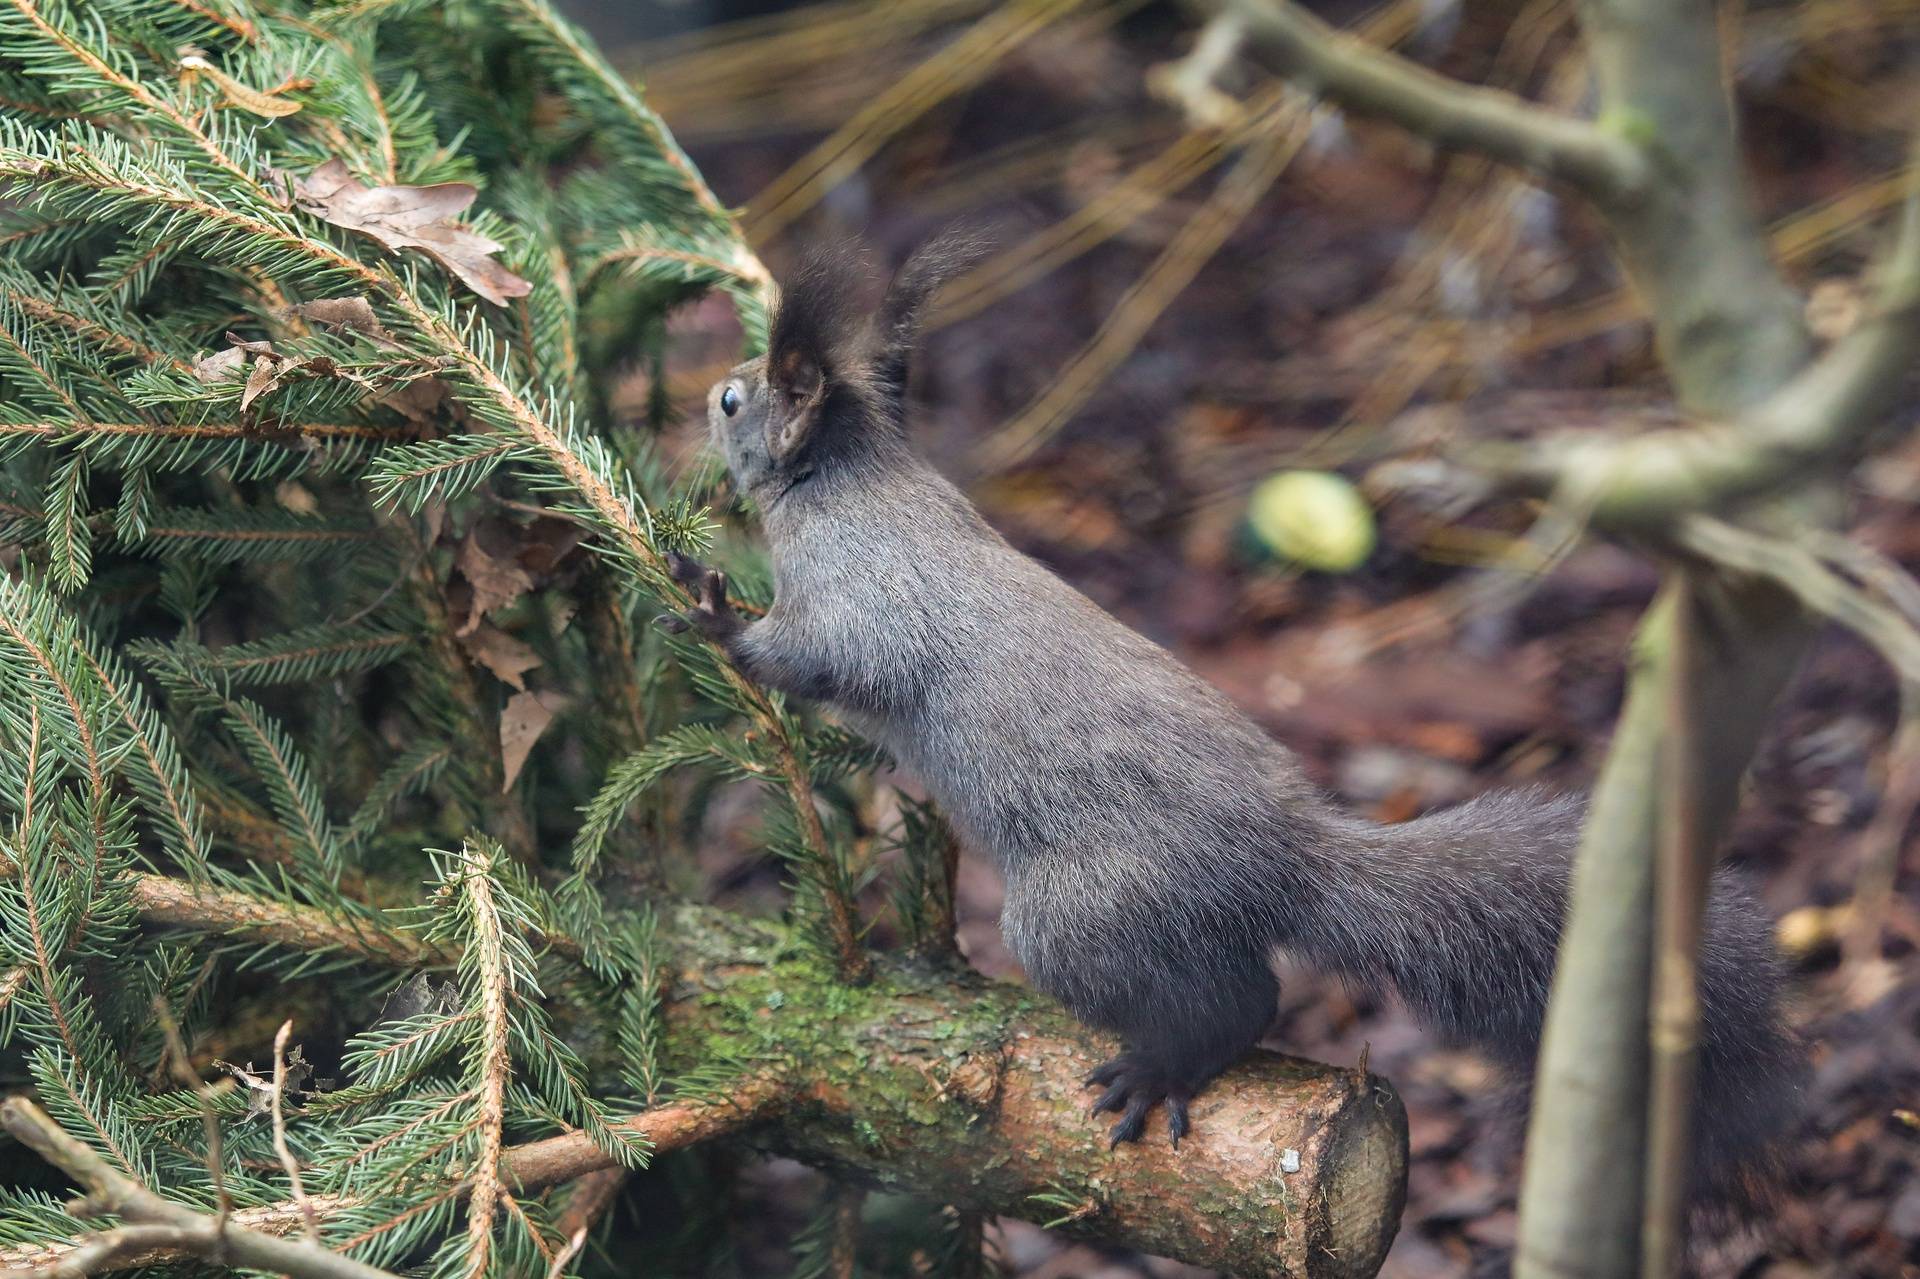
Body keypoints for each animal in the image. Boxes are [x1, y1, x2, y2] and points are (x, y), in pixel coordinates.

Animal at [660, 239, 1797, 1175]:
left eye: (737, 403)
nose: (705, 392)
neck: (855, 482)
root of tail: (1287, 865)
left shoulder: (861, 600)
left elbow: (812, 657)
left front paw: (708, 607)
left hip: (1077, 915)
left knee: (1241, 1000)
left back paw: (1158, 1068)